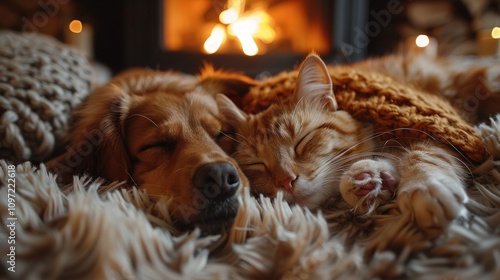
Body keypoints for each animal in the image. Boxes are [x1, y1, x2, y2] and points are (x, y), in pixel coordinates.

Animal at [218, 54, 468, 234]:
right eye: (257, 163)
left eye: (302, 141)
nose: (286, 181)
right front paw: (370, 179)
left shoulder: (431, 132)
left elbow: (422, 155)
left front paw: (425, 186)